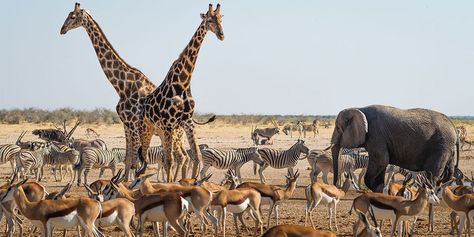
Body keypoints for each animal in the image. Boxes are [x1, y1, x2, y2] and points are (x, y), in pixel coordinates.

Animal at [59, 2, 215, 181]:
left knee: (181, 157)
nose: (62, 29)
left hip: (173, 133)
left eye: (72, 16)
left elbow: (135, 161)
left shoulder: (133, 124)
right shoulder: (126, 124)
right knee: (182, 157)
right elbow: (129, 159)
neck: (122, 86)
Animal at [138, 3, 225, 181]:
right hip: (147, 129)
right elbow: (169, 161)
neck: (183, 82)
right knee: (146, 157)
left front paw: (191, 182)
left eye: (221, 18)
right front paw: (169, 184)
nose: (221, 35)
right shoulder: (169, 123)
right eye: (209, 20)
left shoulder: (187, 122)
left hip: (162, 132)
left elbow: (196, 156)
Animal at [326, 104, 460, 192]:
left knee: (432, 173)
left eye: (338, 128)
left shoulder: (376, 135)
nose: (336, 187)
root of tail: (453, 126)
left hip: (441, 145)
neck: (359, 108)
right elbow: (382, 164)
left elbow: (381, 160)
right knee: (448, 172)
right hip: (447, 147)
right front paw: (380, 192)